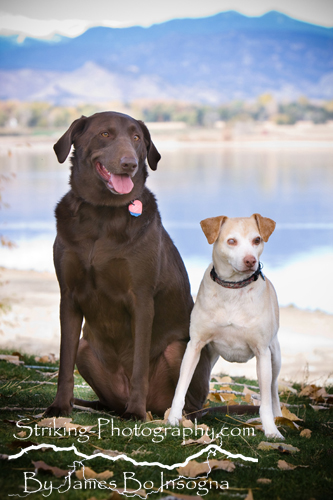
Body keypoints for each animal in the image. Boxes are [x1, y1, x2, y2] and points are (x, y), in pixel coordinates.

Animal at [45, 111, 209, 420]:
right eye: (105, 134)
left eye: (136, 138)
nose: (130, 164)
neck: (101, 214)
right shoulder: (68, 297)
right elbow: (64, 363)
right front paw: (60, 407)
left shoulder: (141, 299)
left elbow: (139, 365)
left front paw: (135, 412)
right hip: (86, 348)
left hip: (177, 352)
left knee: (184, 401)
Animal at [169, 213, 282, 440]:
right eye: (231, 241)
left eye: (257, 240)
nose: (250, 260)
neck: (233, 289)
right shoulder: (195, 346)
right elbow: (181, 386)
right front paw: (174, 418)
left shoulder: (262, 353)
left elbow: (265, 401)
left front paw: (271, 430)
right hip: (210, 357)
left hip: (275, 357)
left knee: (273, 389)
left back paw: (279, 417)